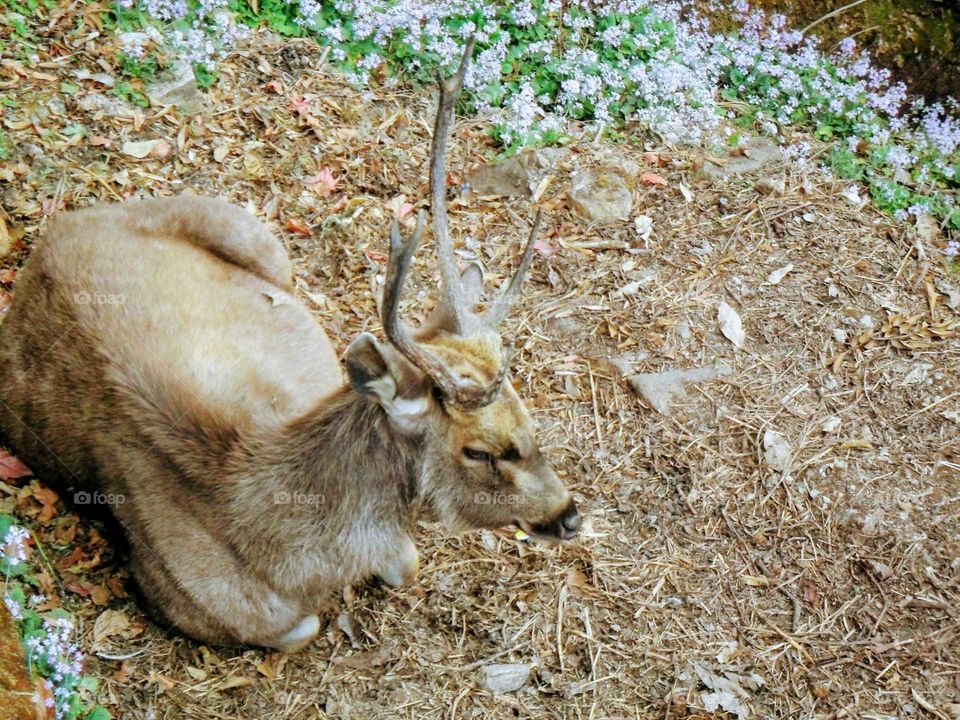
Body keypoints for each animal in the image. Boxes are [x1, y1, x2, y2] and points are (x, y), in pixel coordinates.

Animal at [0, 42, 576, 656]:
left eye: (527, 414)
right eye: (480, 452)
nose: (568, 515)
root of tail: (59, 228)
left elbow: (407, 564)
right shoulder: (177, 594)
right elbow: (306, 626)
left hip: (253, 233)